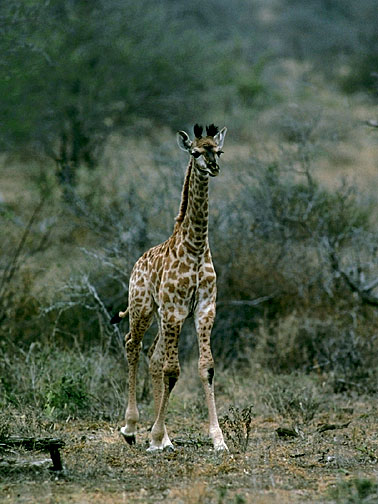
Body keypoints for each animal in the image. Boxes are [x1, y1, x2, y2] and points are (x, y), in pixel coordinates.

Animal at [110, 123, 227, 452]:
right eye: (195, 152)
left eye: (219, 150)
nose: (213, 167)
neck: (196, 246)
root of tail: (137, 263)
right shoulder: (175, 310)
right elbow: (173, 371)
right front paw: (152, 435)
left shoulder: (203, 309)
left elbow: (206, 367)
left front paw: (218, 440)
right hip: (143, 307)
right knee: (132, 345)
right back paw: (131, 428)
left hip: (163, 317)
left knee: (153, 355)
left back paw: (162, 437)